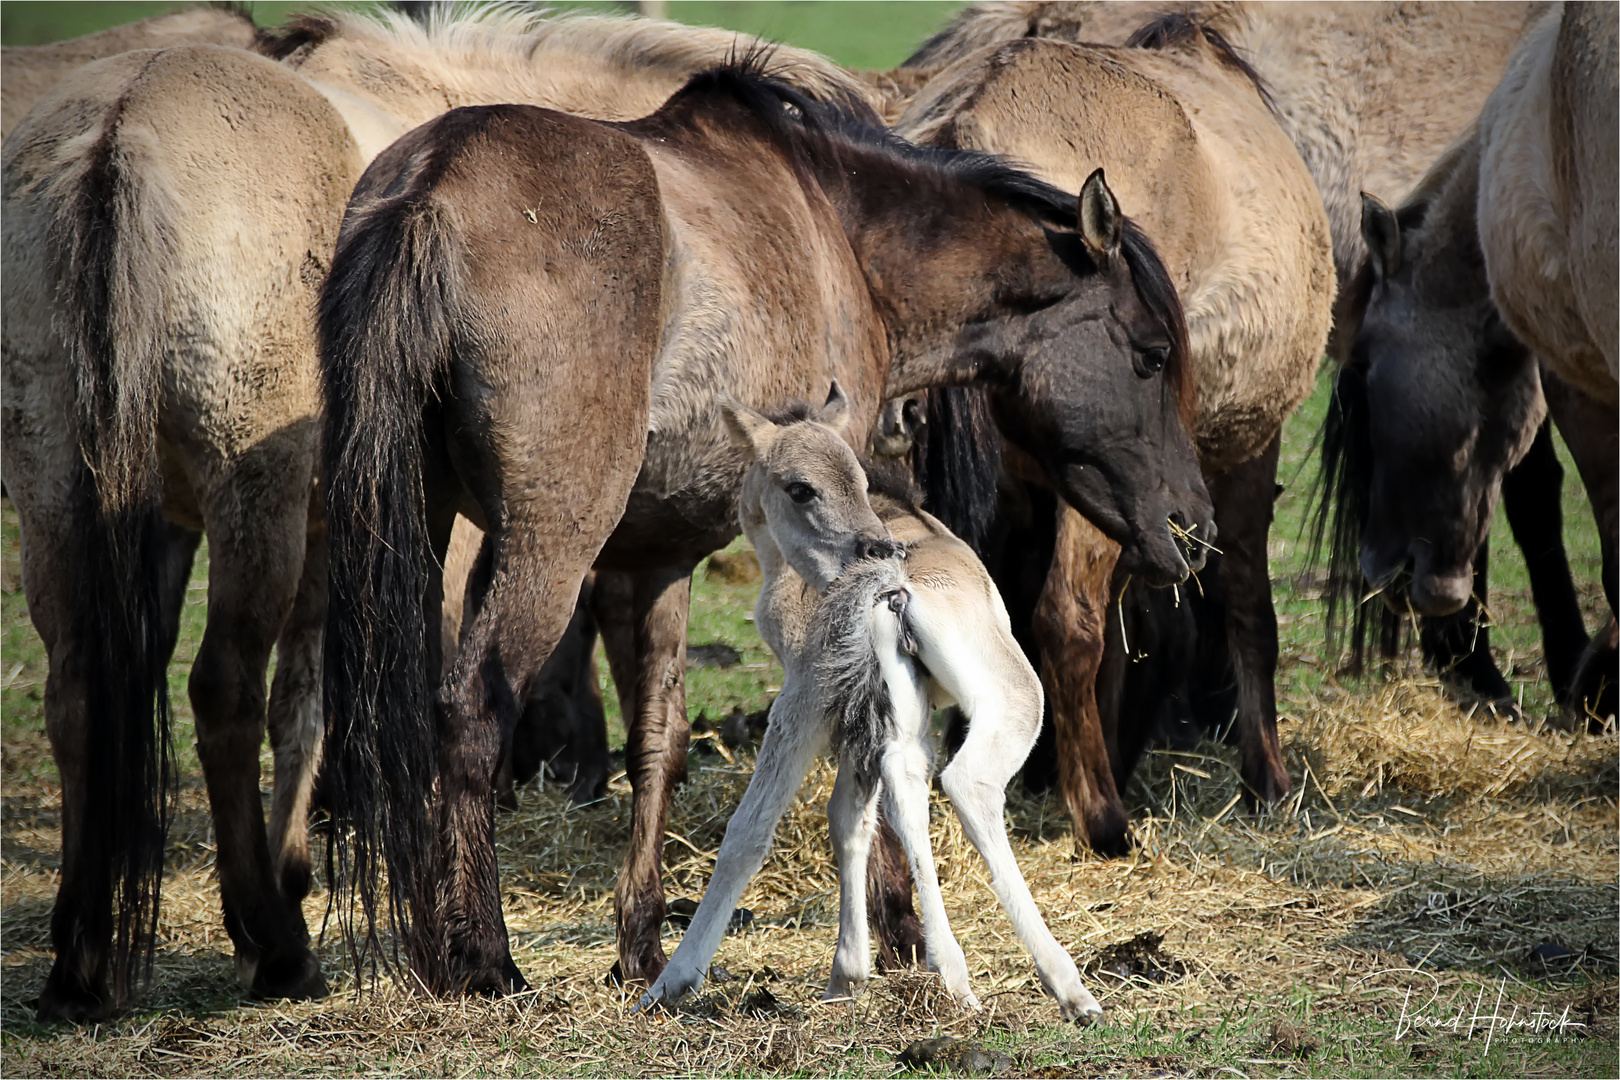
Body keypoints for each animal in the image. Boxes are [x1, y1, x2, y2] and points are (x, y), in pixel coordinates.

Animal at [0, 6, 887, 1023]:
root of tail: (122, 134)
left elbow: (312, 701)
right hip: (265, 504)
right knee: (245, 689)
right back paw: (331, 949)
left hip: (64, 485)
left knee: (82, 690)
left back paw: (88, 959)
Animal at [315, 63, 1205, 997]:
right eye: (1150, 354)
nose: (1192, 523)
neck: (840, 231)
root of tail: (432, 185)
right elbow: (870, 746)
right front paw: (895, 929)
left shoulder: (655, 559)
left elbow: (659, 741)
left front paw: (643, 946)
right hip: (545, 547)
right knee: (473, 711)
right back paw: (486, 959)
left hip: (420, 531)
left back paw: (428, 950)